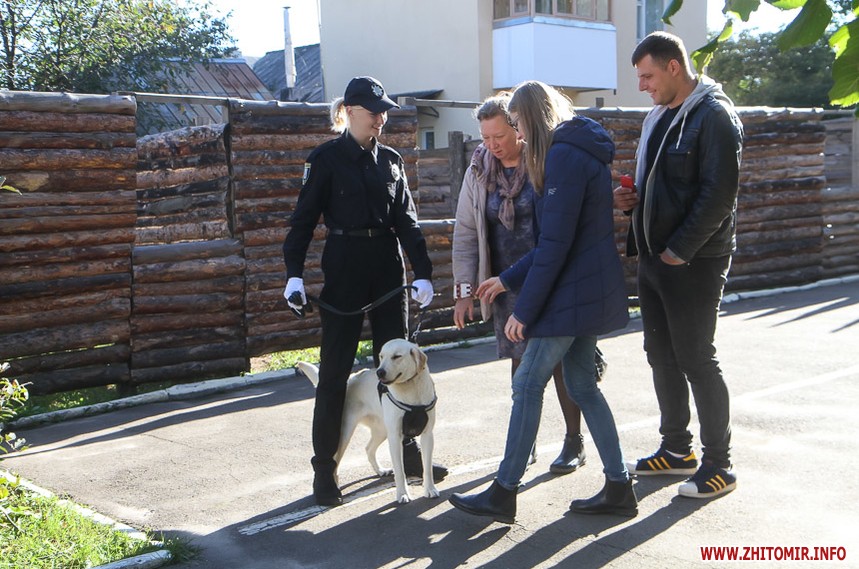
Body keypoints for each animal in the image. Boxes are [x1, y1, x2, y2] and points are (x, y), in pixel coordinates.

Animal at [296, 338, 440, 504]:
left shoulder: (428, 435)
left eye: (397, 356)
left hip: (381, 431)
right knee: (335, 463)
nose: (379, 372)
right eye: (381, 356)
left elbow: (427, 467)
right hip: (344, 434)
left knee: (368, 448)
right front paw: (402, 494)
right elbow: (400, 471)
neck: (411, 390)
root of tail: (350, 379)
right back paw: (332, 488)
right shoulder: (395, 437)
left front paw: (430, 489)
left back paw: (380, 471)